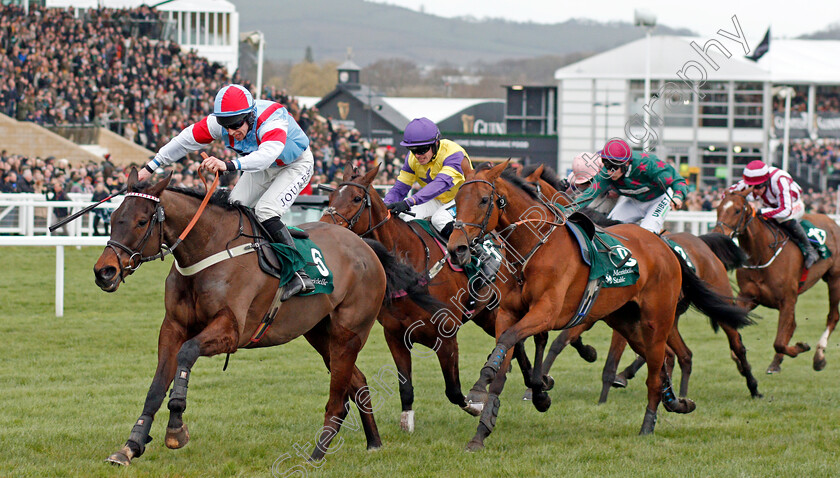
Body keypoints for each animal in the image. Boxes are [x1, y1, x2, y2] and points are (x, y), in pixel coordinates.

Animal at [93, 169, 440, 466]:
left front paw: (176, 427)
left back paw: (316, 455)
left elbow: (187, 354)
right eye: (113, 218)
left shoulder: (232, 331)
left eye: (141, 221)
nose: (104, 271)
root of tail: (365, 245)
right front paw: (131, 445)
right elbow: (155, 387)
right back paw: (373, 443)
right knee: (357, 383)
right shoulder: (173, 327)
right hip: (320, 334)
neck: (208, 250)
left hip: (349, 333)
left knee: (338, 398)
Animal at [318, 162, 540, 432]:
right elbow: (405, 386)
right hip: (485, 315)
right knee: (515, 345)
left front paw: (476, 405)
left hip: (495, 309)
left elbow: (454, 391)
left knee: (515, 341)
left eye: (357, 198)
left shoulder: (446, 336)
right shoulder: (395, 334)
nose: (325, 227)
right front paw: (407, 422)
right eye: (330, 197)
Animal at [520, 166, 760, 402]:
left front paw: (602, 398)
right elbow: (561, 341)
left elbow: (608, 360)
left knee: (735, 344)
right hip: (669, 315)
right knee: (681, 354)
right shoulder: (589, 310)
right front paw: (539, 384)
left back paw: (753, 387)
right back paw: (676, 391)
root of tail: (702, 242)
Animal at [712, 190, 840, 374]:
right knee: (792, 325)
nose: (717, 234)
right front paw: (739, 359)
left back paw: (819, 357)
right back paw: (777, 362)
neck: (761, 254)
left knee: (832, 317)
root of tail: (831, 221)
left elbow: (779, 342)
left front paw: (801, 347)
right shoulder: (749, 296)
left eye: (737, 210)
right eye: (718, 208)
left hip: (834, 279)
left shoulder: (787, 299)